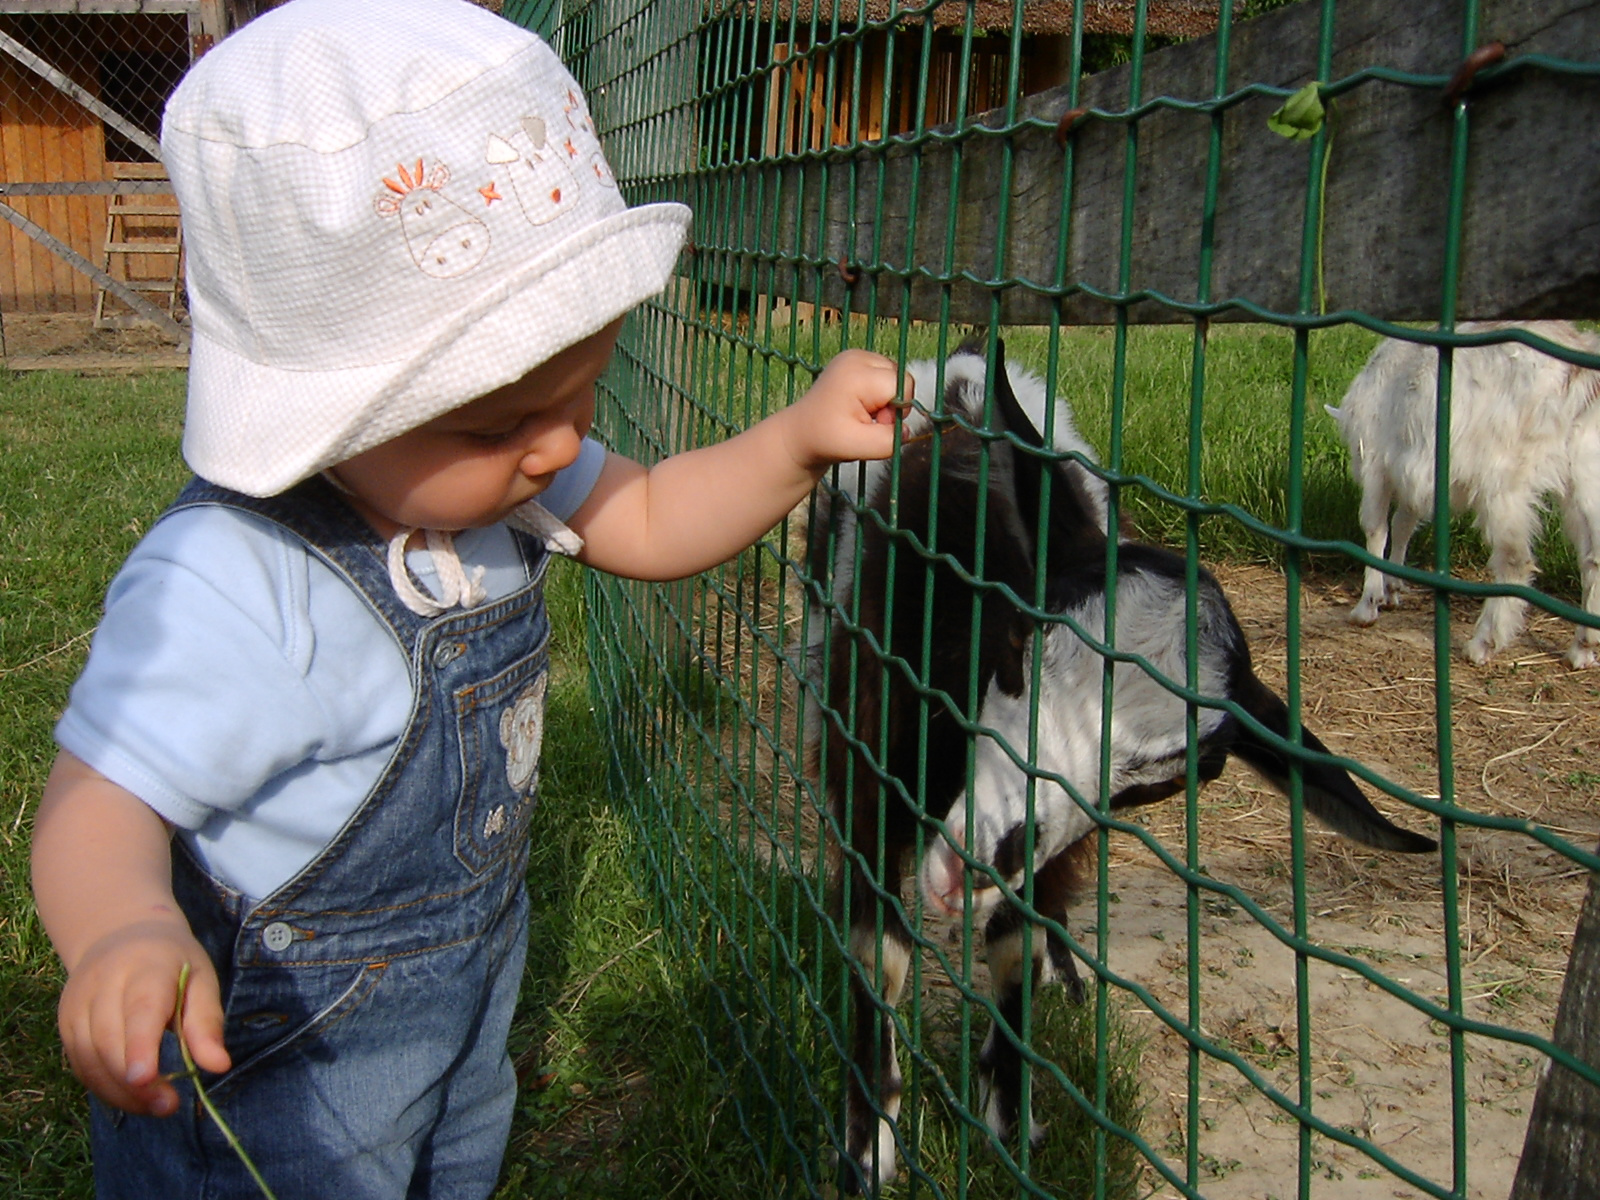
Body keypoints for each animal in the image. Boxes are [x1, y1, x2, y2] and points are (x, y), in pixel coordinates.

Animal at [806, 340, 1433, 1196]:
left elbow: (1016, 949)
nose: (978, 861)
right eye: (1019, 646)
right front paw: (867, 1150)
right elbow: (883, 957)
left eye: (1170, 774)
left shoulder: (1048, 847)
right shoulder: (867, 776)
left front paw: (1011, 1119)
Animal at [1324, 320, 1600, 672]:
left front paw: (1367, 605)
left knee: (1515, 559)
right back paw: (1583, 647)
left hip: (1505, 475)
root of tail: (1577, 373)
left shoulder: (1375, 462)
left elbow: (1375, 529)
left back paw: (1483, 643)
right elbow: (1403, 524)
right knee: (1594, 557)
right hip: (1585, 467)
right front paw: (1393, 588)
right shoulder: (1414, 475)